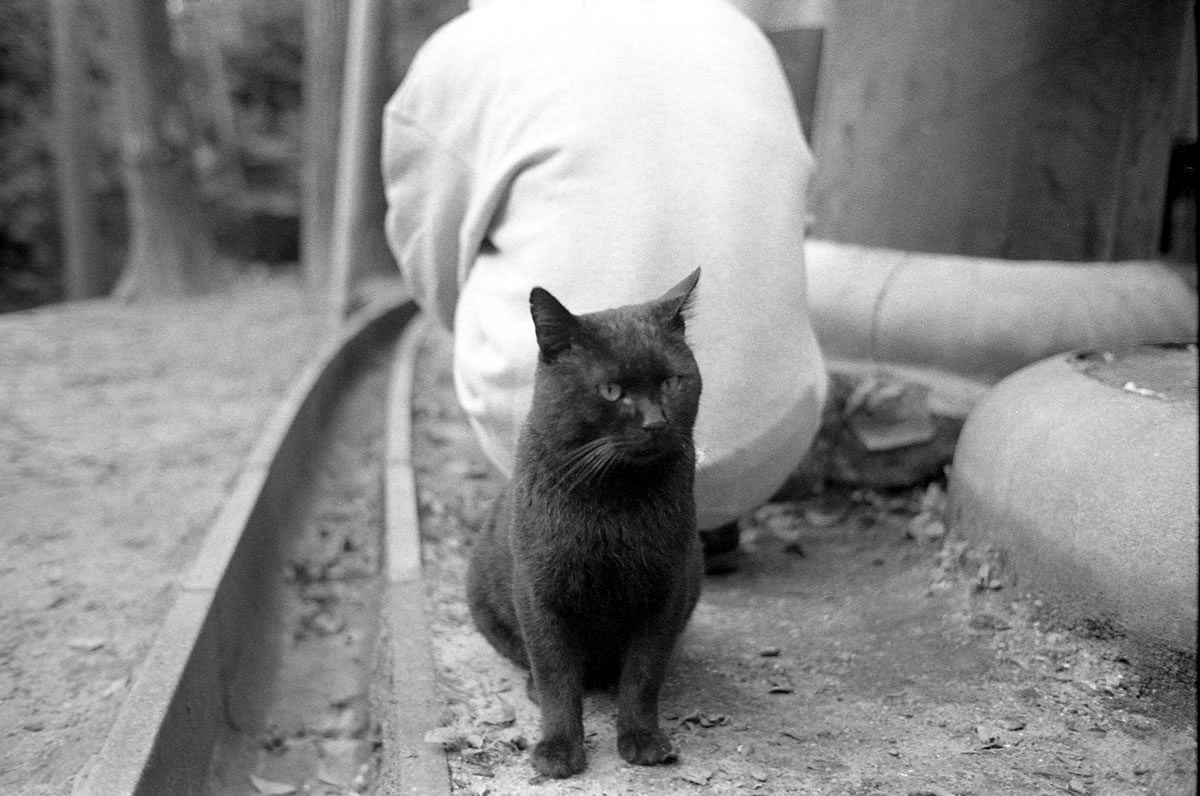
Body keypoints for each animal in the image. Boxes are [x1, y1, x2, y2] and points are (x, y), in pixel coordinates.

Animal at [465, 271, 700, 782]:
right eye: (611, 391)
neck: (612, 503)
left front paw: (642, 739)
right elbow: (556, 678)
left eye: (672, 381)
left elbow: (644, 674)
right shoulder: (540, 594)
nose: (656, 422)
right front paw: (558, 748)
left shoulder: (666, 590)